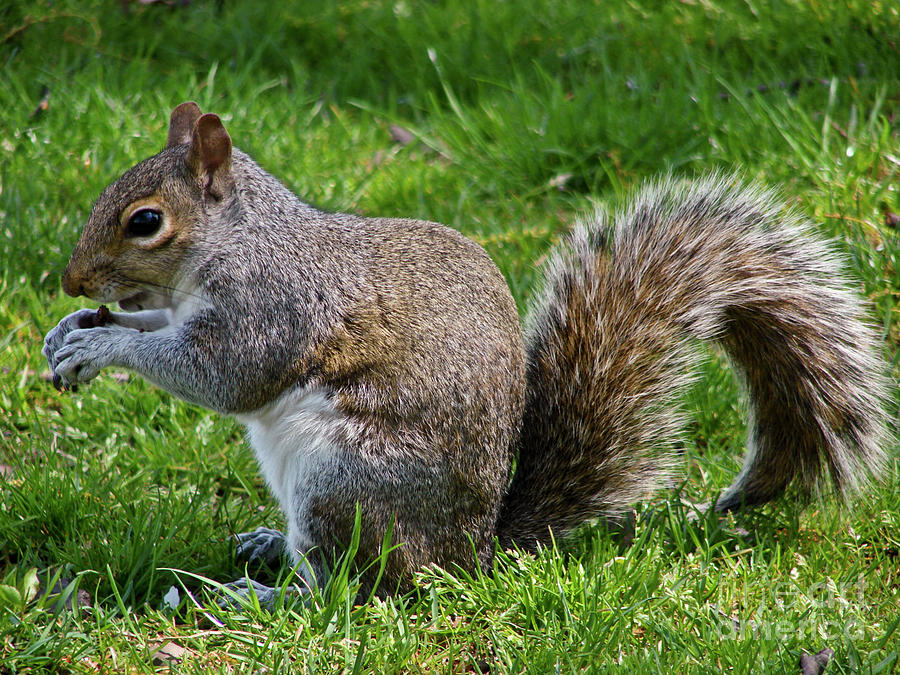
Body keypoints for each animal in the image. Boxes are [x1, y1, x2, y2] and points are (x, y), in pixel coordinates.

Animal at [42, 101, 884, 604]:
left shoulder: (272, 304)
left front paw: (101, 340)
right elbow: (166, 334)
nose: (71, 279)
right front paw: (73, 329)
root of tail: (474, 553)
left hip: (343, 482)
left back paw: (259, 593)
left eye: (145, 221)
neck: (237, 240)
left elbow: (222, 376)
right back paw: (267, 547)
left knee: (352, 588)